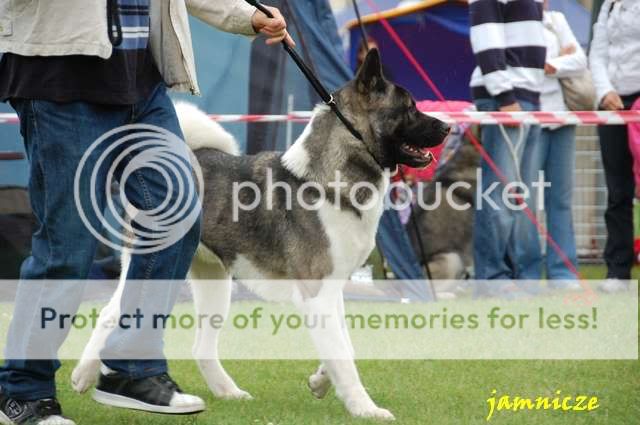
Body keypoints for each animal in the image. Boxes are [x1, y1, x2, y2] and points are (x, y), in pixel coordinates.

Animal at [71, 49, 449, 420]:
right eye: (409, 107)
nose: (447, 125)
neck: (327, 181)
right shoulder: (316, 294)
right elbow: (343, 356)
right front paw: (365, 408)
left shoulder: (332, 290)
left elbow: (344, 347)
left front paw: (321, 380)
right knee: (109, 314)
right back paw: (85, 374)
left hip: (213, 283)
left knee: (201, 346)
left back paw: (228, 391)